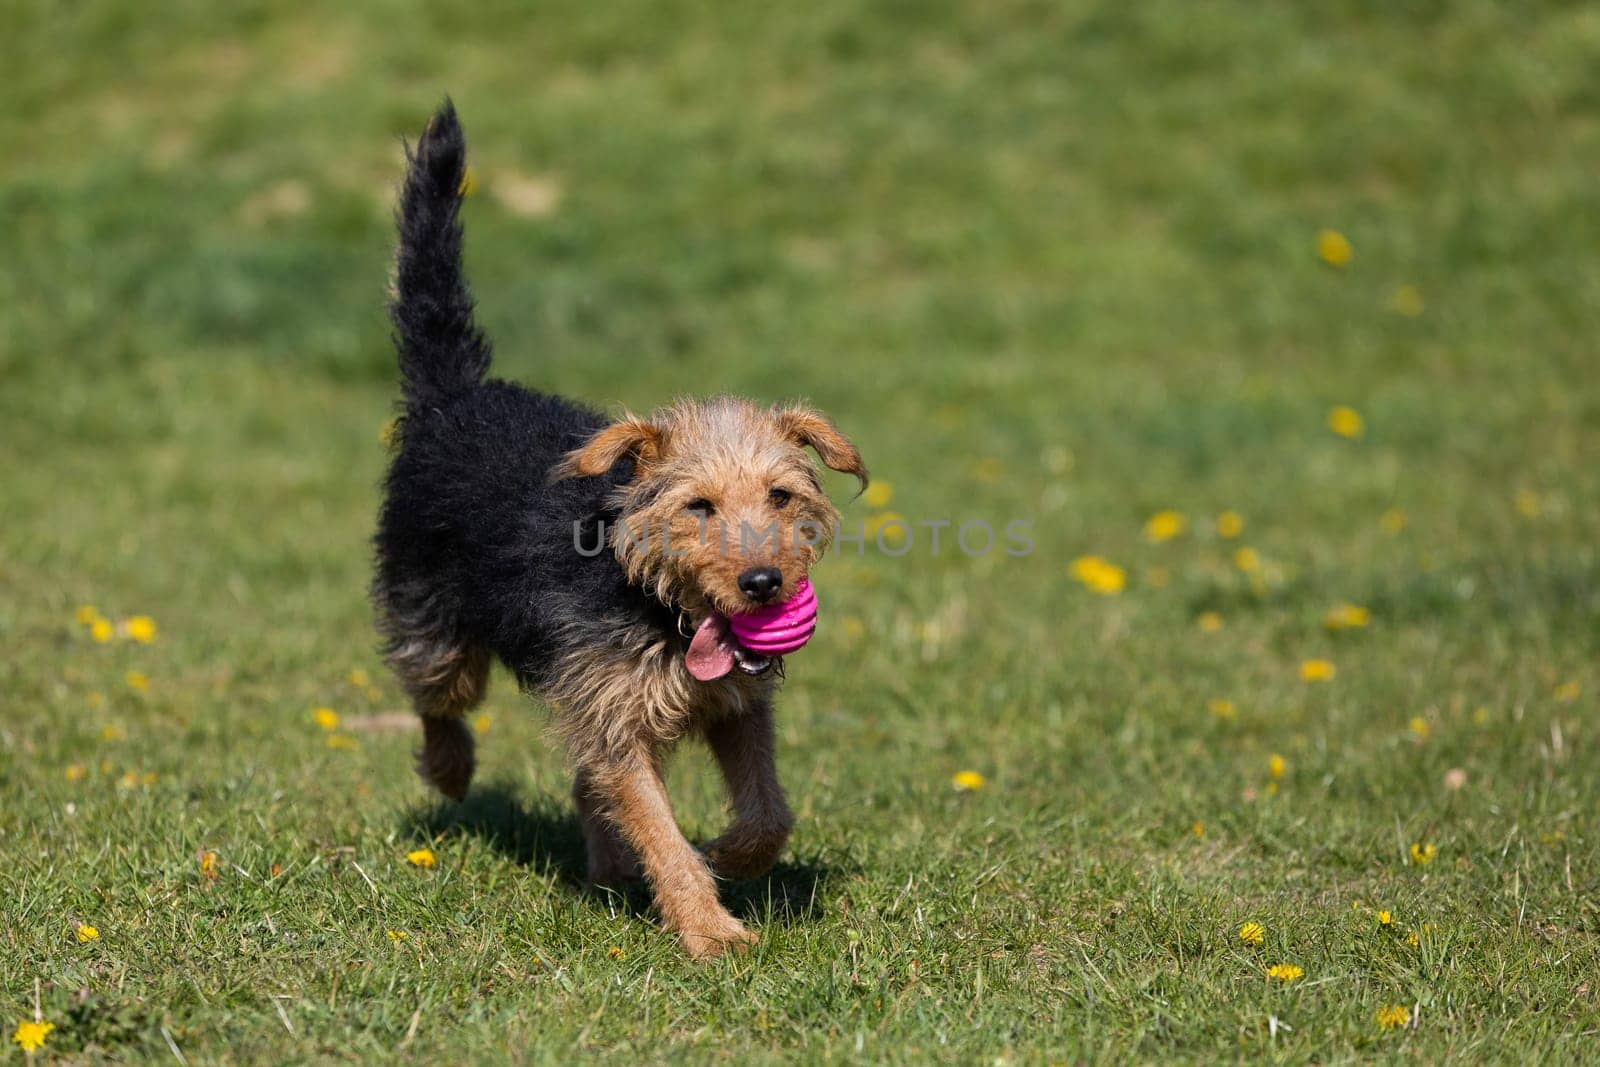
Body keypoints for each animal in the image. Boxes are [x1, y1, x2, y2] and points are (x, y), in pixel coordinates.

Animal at [369, 103, 870, 966]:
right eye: (698, 506)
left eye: (780, 495)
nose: (763, 584)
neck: (659, 604)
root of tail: (455, 396)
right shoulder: (616, 720)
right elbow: (660, 829)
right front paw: (709, 930)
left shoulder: (735, 706)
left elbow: (768, 809)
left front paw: (732, 854)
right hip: (432, 619)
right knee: (438, 696)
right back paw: (452, 770)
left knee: (582, 783)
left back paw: (608, 870)